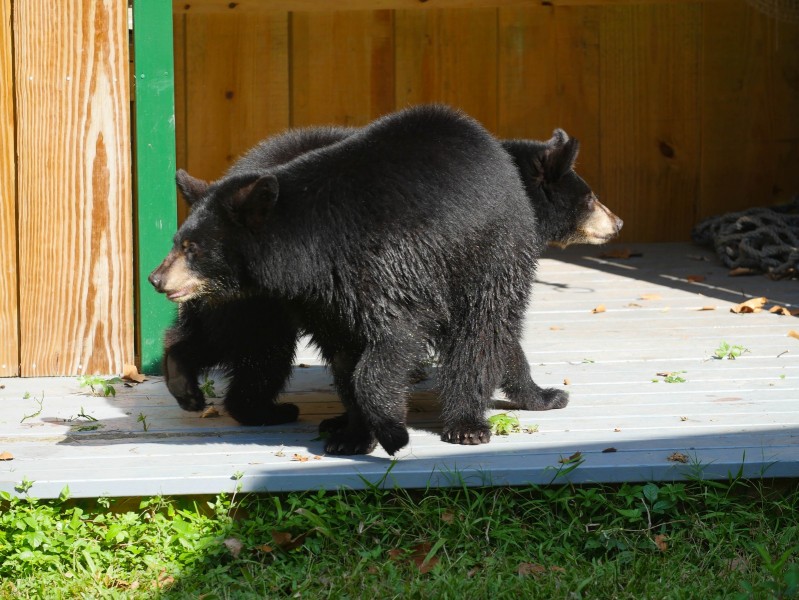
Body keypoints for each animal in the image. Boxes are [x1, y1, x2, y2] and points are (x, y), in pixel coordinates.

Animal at [150, 104, 565, 456]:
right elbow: (355, 353)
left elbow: (393, 337)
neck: (313, 246)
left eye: (191, 247)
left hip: (483, 251)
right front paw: (362, 433)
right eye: (179, 242)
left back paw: (465, 424)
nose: (156, 278)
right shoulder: (334, 293)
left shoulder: (382, 267)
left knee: (478, 330)